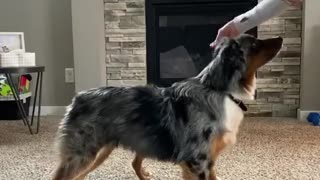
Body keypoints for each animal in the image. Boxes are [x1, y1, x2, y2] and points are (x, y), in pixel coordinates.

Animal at [52, 34, 282, 179]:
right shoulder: (197, 160)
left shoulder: (207, 161)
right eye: (255, 44)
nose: (280, 39)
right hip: (83, 154)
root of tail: (78, 98)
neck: (221, 90)